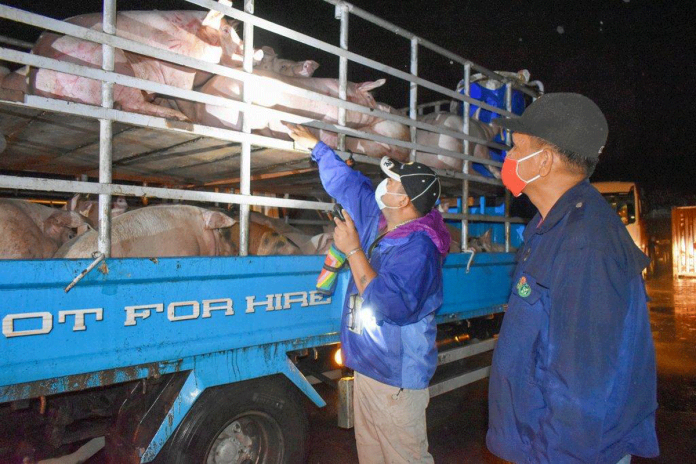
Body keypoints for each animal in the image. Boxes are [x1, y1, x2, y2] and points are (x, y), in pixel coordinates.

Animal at [29, 1, 254, 121]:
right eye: (226, 31)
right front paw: (193, 118)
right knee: (131, 103)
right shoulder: (178, 70)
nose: (255, 52)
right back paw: (176, 117)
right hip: (111, 63)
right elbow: (185, 97)